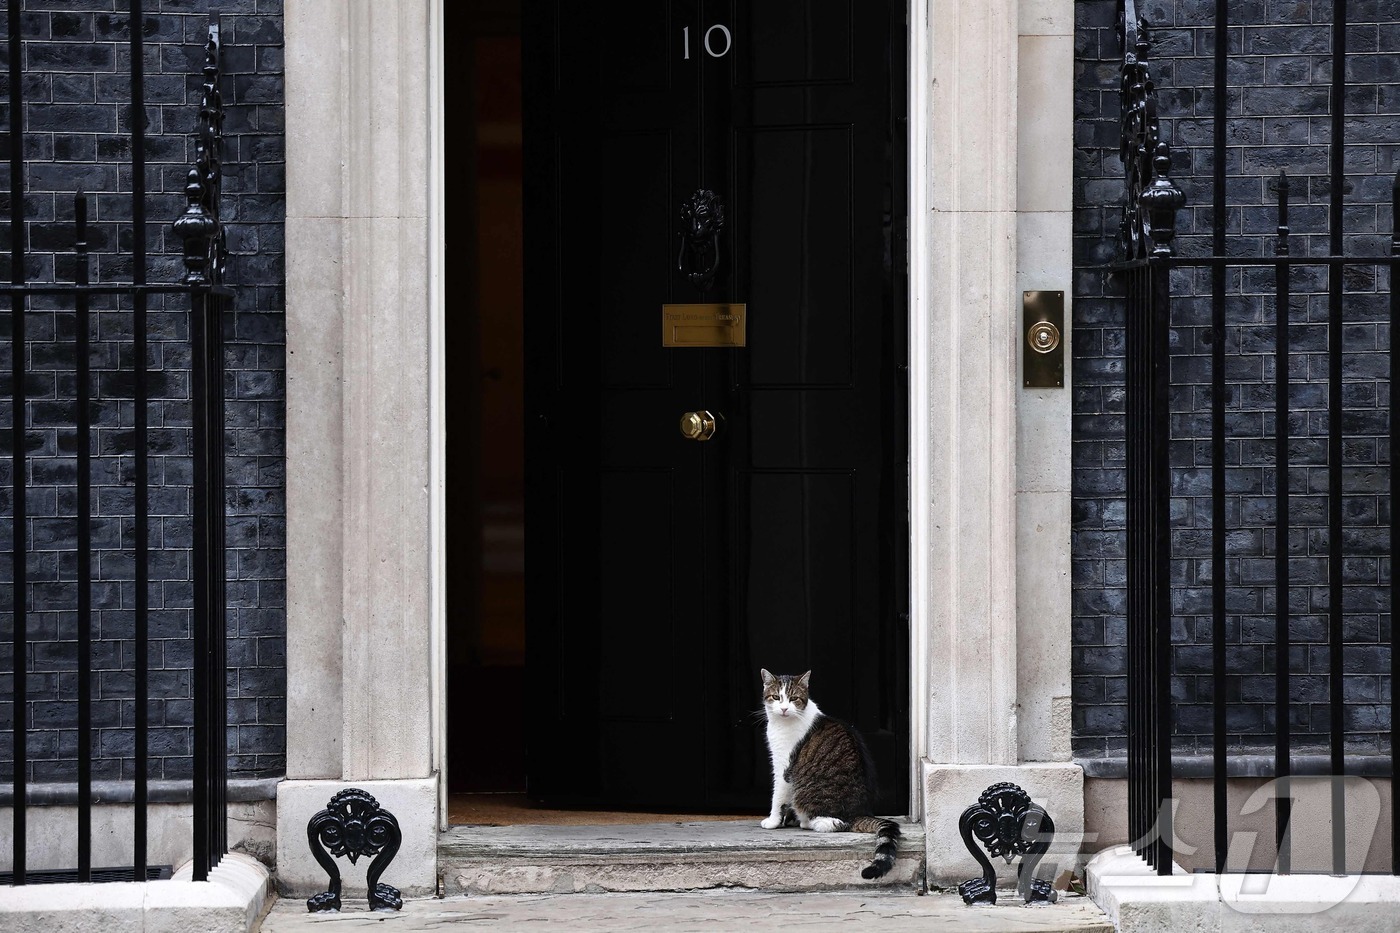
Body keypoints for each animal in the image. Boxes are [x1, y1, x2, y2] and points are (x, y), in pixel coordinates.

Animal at [761, 669, 901, 874]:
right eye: (776, 697)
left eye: (794, 698)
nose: (785, 709)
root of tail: (860, 811)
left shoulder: (783, 768)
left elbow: (776, 797)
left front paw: (772, 821)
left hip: (807, 793)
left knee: (837, 823)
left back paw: (809, 822)